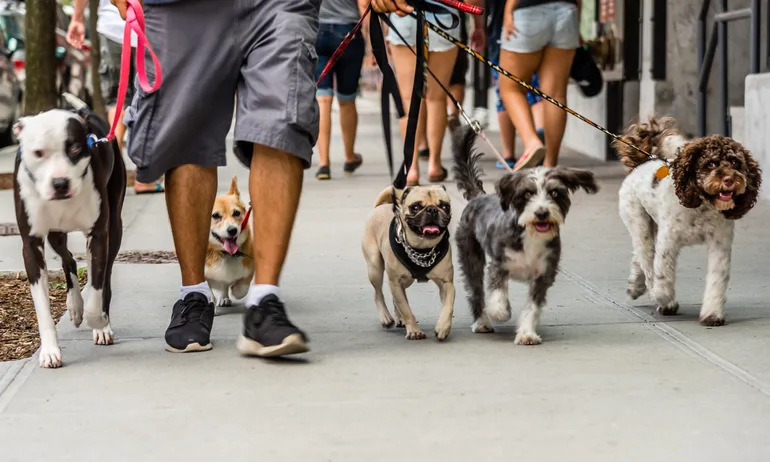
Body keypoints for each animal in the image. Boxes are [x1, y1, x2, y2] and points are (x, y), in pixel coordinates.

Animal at [13, 96, 125, 368]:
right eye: (38, 153)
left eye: (74, 149)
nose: (60, 183)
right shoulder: (31, 245)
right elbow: (42, 306)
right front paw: (50, 351)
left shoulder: (99, 235)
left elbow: (96, 289)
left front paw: (100, 323)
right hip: (56, 234)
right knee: (69, 259)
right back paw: (74, 305)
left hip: (114, 228)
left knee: (103, 275)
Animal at [450, 126, 600, 342]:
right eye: (527, 194)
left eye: (555, 193)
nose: (542, 213)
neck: (530, 235)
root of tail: (479, 196)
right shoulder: (500, 264)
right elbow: (497, 291)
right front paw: (500, 311)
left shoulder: (544, 273)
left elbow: (533, 306)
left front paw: (527, 333)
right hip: (470, 254)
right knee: (475, 290)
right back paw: (482, 321)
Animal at [612, 115, 756, 324]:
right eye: (711, 164)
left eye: (735, 163)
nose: (730, 180)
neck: (701, 205)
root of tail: (642, 163)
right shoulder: (668, 242)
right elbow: (662, 274)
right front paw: (664, 299)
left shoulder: (720, 244)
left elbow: (717, 279)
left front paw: (712, 314)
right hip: (638, 222)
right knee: (646, 258)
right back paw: (649, 289)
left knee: (639, 256)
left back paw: (635, 286)